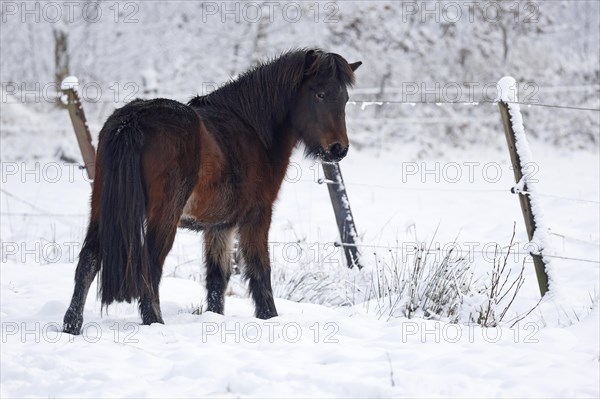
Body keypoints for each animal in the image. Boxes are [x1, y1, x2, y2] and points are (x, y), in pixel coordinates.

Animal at [62, 48, 360, 334]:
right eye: (320, 94)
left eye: (345, 98)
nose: (339, 149)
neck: (252, 130)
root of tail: (132, 121)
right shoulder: (257, 216)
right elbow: (260, 270)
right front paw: (269, 317)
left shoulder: (219, 226)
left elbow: (217, 278)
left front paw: (215, 318)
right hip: (164, 215)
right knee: (150, 264)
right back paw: (154, 322)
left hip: (102, 207)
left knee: (88, 260)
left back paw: (71, 325)